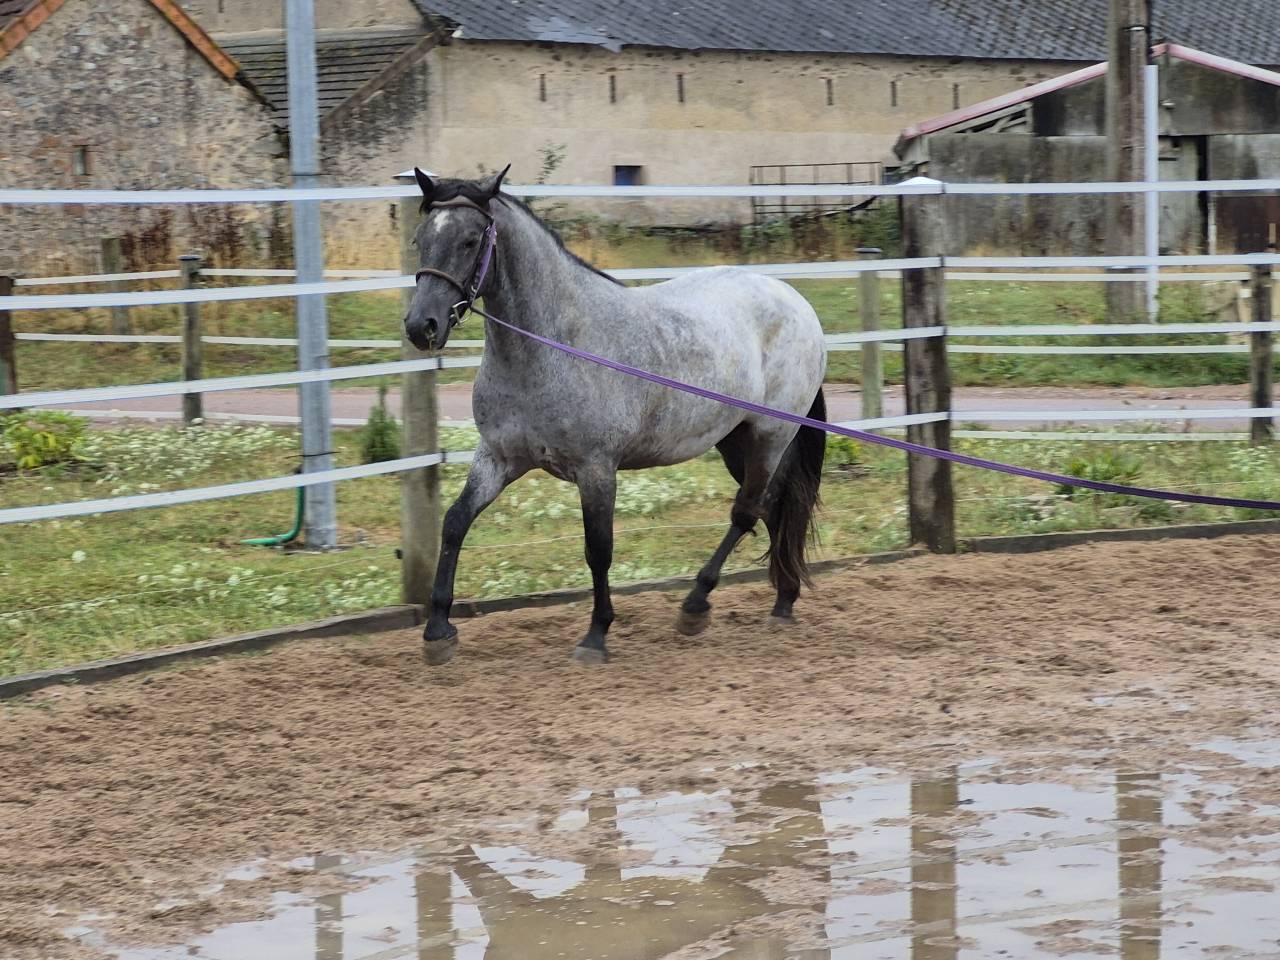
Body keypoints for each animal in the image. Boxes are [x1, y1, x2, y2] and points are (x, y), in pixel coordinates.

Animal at [403, 167, 827, 665]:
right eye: (420, 239)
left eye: (471, 241)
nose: (421, 326)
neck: (554, 346)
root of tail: (796, 301)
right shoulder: (498, 458)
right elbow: (455, 523)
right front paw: (438, 632)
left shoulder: (596, 469)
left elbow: (598, 549)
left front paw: (596, 635)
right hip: (734, 439)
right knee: (774, 507)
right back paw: (783, 601)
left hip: (770, 435)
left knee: (747, 511)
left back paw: (696, 605)